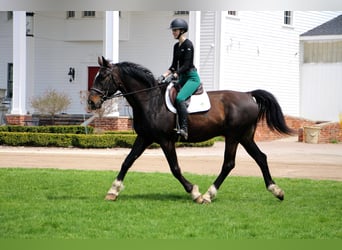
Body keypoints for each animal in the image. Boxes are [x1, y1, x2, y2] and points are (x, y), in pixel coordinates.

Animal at [88, 56, 294, 203]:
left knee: (229, 164)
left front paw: (194, 192)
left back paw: (209, 194)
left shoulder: (165, 140)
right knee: (260, 158)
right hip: (245, 137)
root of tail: (248, 95)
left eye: (103, 77)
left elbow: (175, 168)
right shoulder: (145, 138)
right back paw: (277, 191)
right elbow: (127, 162)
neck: (150, 100)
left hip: (233, 136)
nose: (91, 102)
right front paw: (113, 191)